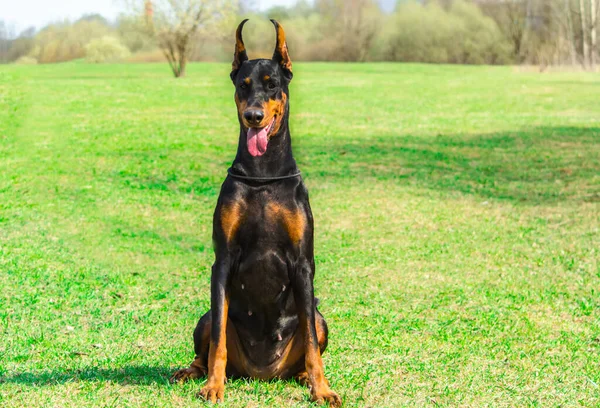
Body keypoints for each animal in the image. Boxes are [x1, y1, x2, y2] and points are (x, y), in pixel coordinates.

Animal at [172, 19, 342, 408]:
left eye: (272, 84)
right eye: (242, 85)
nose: (253, 116)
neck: (263, 174)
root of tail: (262, 374)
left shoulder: (302, 263)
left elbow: (312, 344)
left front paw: (322, 389)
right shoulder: (222, 261)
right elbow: (218, 342)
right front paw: (213, 387)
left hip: (321, 317)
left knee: (312, 335)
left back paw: (303, 377)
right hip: (205, 318)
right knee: (207, 343)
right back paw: (193, 372)